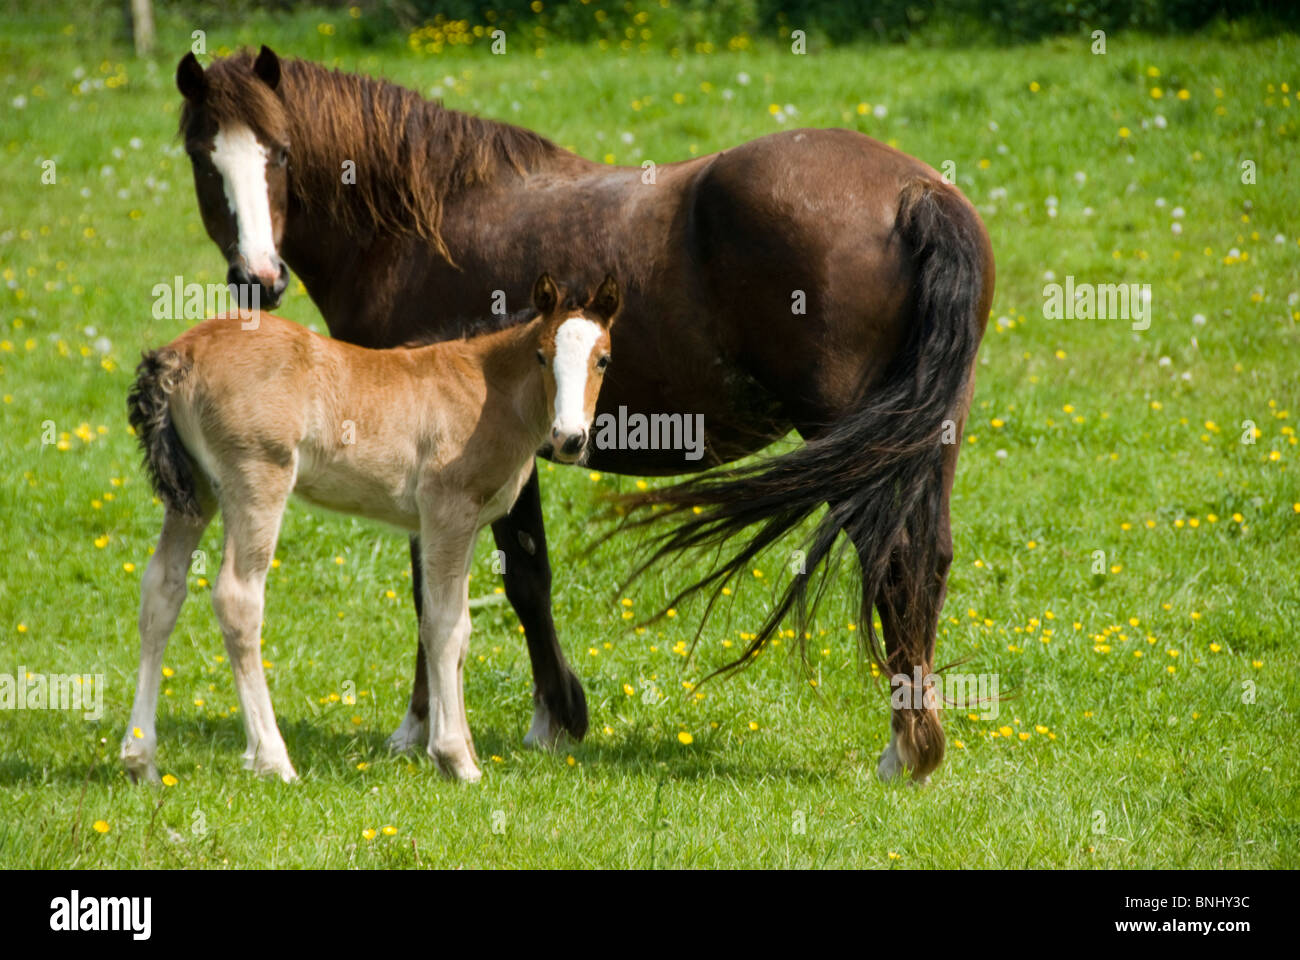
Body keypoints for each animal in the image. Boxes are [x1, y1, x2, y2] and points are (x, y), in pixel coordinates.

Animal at [121, 274, 621, 783]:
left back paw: (140, 759)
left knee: (162, 590)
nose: (569, 439)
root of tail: (180, 352)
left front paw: (463, 749)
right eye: (542, 355)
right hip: (257, 479)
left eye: (603, 359)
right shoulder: (446, 512)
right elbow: (443, 625)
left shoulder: (466, 526)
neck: (485, 388)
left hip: (197, 492)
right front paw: (455, 759)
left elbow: (460, 629)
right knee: (237, 598)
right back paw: (273, 759)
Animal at [173, 46, 994, 782]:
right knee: (927, 558)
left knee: (893, 558)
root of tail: (915, 193)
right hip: (923, 438)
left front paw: (472, 726)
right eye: (203, 159)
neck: (417, 227)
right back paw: (915, 742)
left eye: (279, 153)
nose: (258, 279)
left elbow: (481, 585)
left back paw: (905, 752)